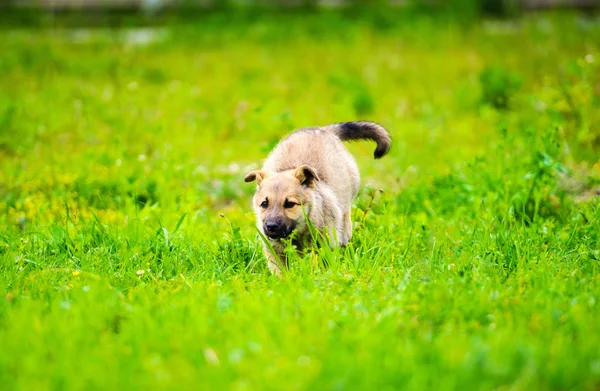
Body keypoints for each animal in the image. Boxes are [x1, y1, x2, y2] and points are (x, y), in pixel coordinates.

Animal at [245, 121, 392, 274]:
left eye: (289, 204)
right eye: (264, 204)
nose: (271, 226)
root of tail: (323, 129)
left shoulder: (326, 244)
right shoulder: (274, 250)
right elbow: (280, 271)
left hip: (346, 212)